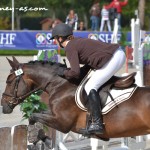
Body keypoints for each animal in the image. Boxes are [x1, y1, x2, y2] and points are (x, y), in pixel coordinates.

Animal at [1, 55, 150, 144]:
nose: (3, 105)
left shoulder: (62, 122)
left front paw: (34, 137)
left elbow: (33, 116)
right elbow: (36, 115)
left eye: (9, 81)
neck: (60, 84)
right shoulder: (54, 115)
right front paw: (42, 138)